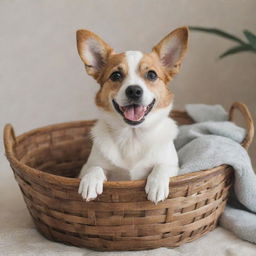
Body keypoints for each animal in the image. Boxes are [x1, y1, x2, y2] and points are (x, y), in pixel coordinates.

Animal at [76, 26, 188, 204]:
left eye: (152, 75)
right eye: (115, 75)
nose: (134, 90)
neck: (132, 135)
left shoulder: (173, 165)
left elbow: (162, 167)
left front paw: (157, 184)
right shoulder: (86, 167)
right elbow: (94, 168)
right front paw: (91, 180)